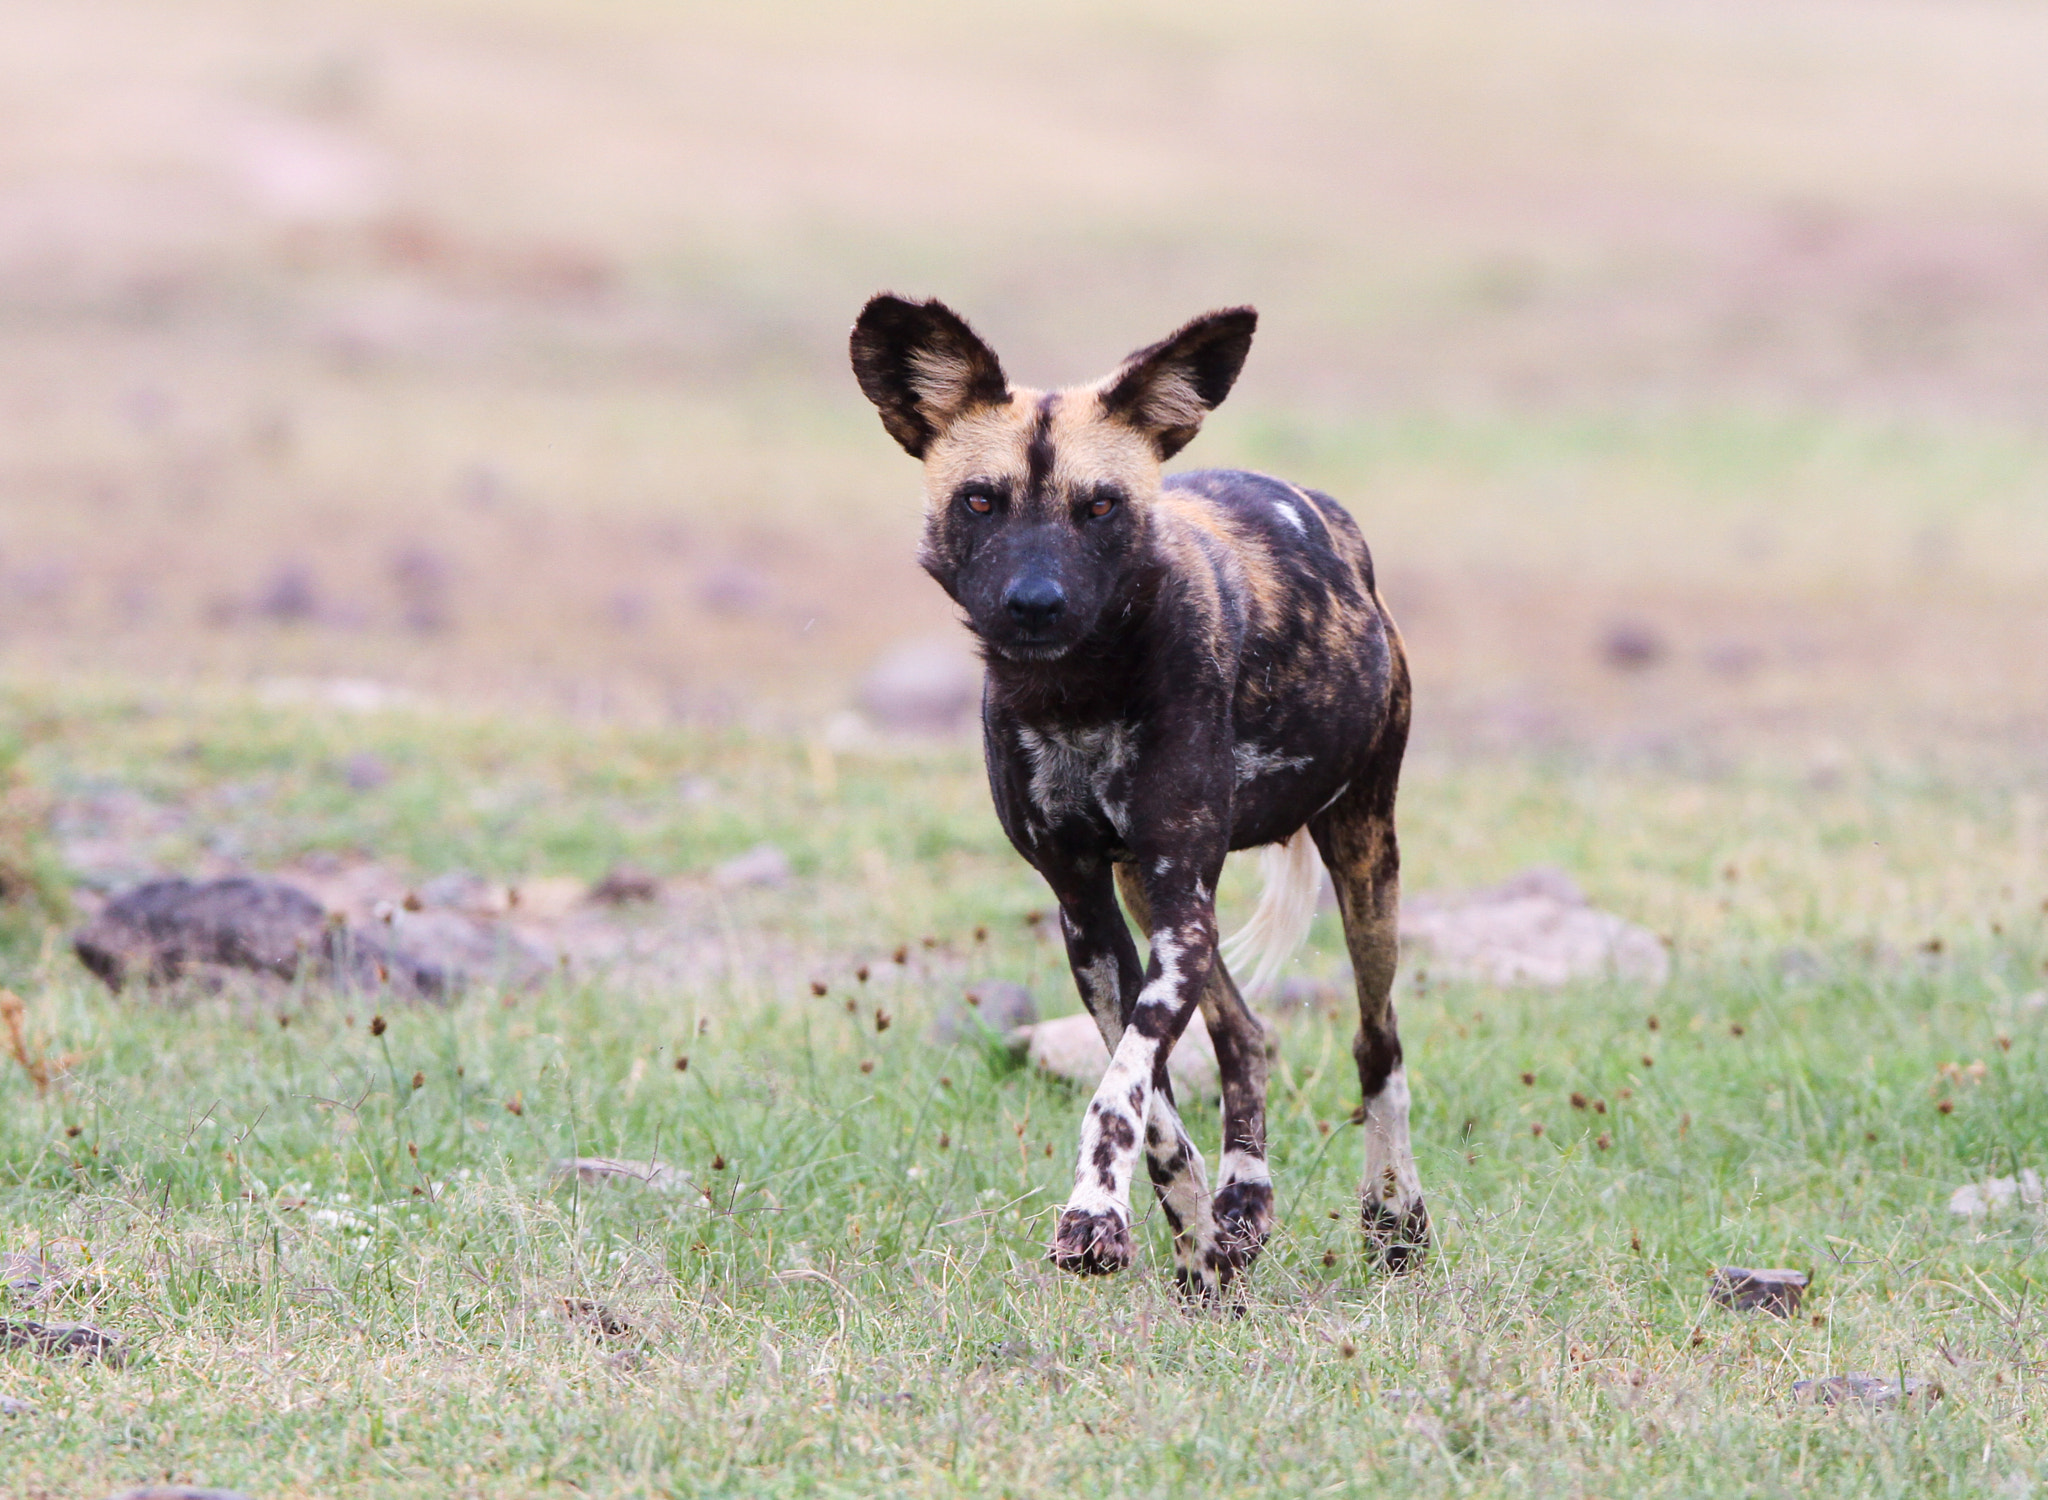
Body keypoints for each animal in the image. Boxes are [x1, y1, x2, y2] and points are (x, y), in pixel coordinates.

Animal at [847, 295, 1425, 1303]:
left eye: (1101, 506)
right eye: (980, 500)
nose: (1034, 602)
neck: (1076, 694)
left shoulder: (1180, 909)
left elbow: (1117, 1087)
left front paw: (1096, 1213)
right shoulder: (1091, 911)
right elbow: (1147, 1099)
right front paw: (1191, 1232)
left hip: (1360, 853)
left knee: (1376, 1039)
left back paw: (1394, 1218)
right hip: (1149, 895)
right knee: (1247, 1038)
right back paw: (1243, 1204)